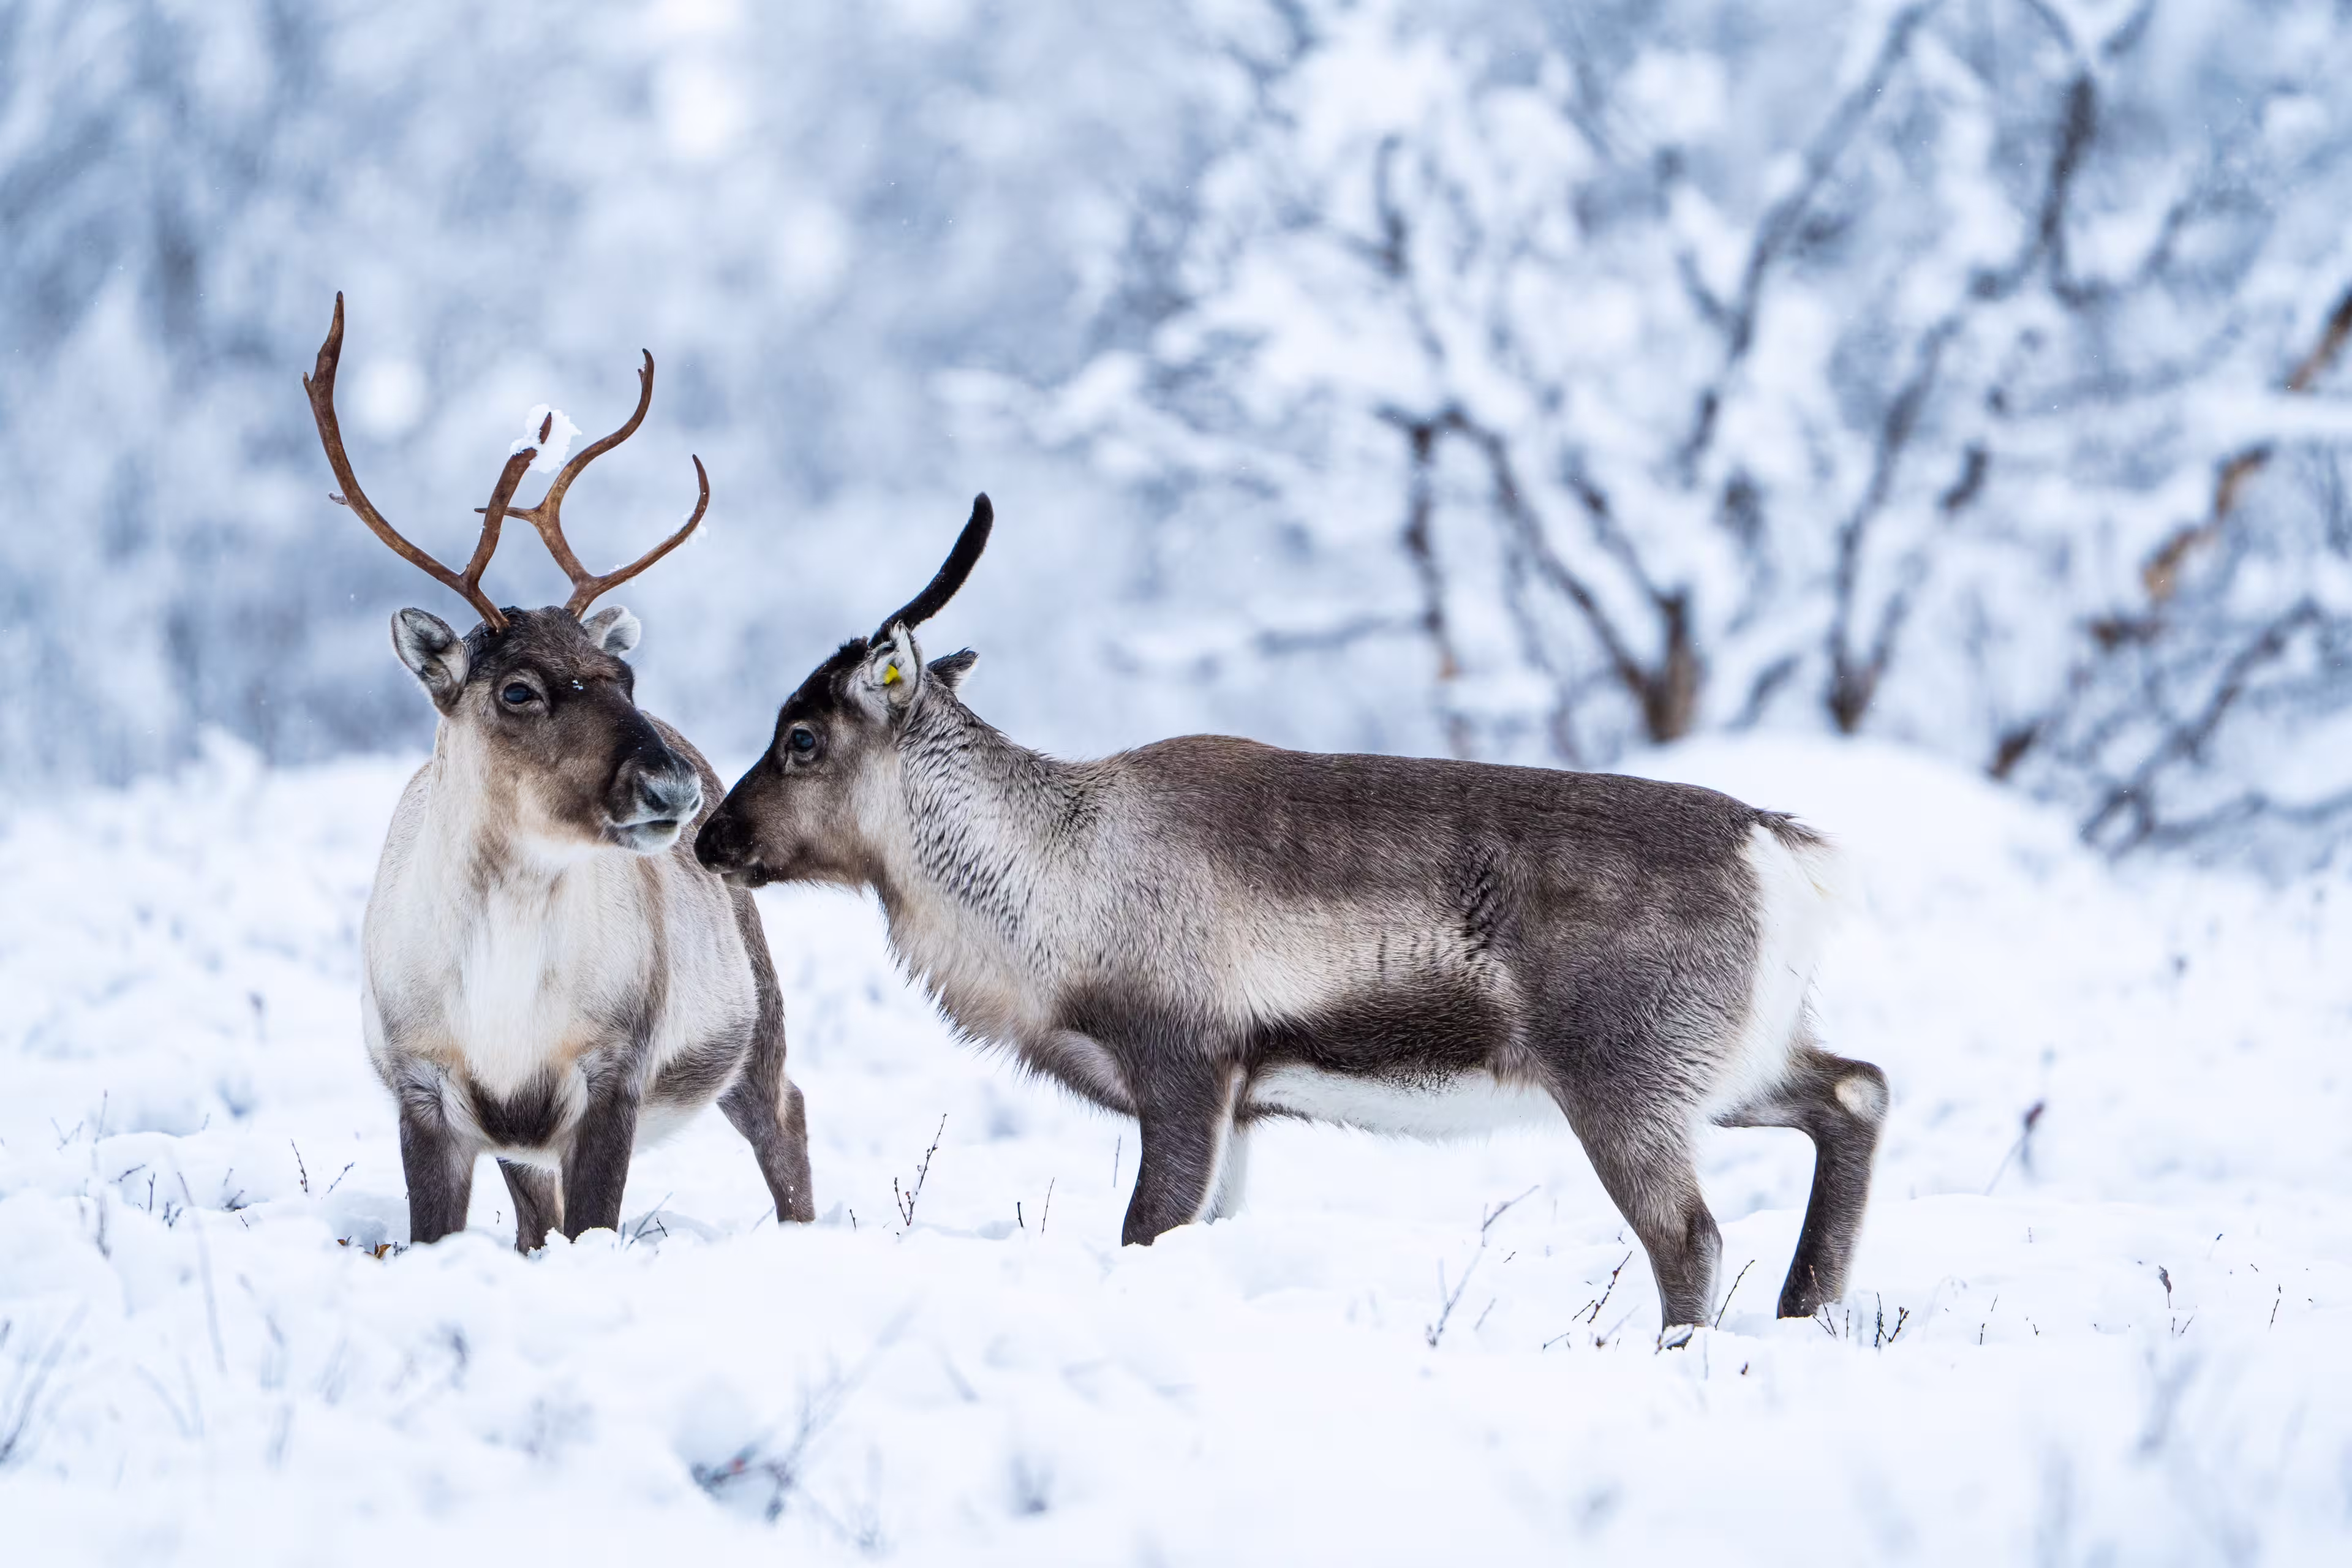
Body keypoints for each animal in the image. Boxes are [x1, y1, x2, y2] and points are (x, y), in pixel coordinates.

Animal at [304, 294, 814, 1251]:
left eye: (623, 676)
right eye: (518, 689)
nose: (673, 787)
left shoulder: (613, 1070)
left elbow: (596, 1227)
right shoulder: (427, 1085)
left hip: (753, 1022)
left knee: (788, 1120)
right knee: (535, 1219)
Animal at [694, 496, 1888, 1331]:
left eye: (801, 737)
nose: (710, 839)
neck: (1051, 881)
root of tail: (1782, 848)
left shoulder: (1185, 1066)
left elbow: (1145, 1231)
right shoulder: (1247, 1104)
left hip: (1625, 1081)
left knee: (1692, 1237)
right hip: (1729, 1068)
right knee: (1857, 1089)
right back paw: (1805, 1308)